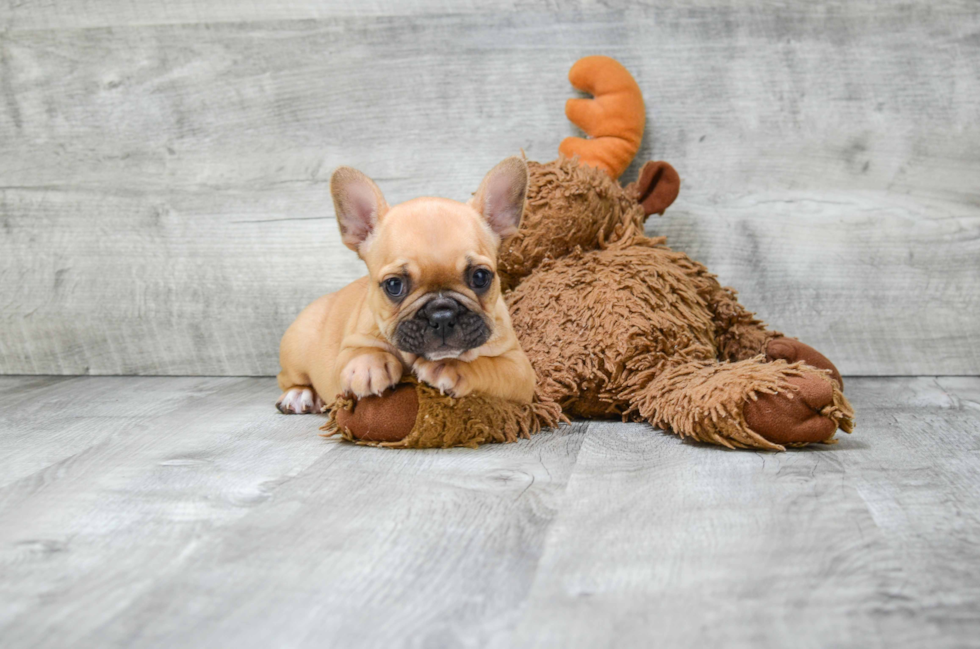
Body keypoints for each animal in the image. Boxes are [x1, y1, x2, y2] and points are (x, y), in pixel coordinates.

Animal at [276, 156, 536, 416]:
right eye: (394, 285)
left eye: (481, 277)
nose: (442, 315)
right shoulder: (346, 352)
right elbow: (359, 352)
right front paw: (370, 366)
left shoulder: (520, 370)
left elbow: (489, 364)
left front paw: (450, 366)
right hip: (296, 348)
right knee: (287, 378)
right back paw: (298, 394)